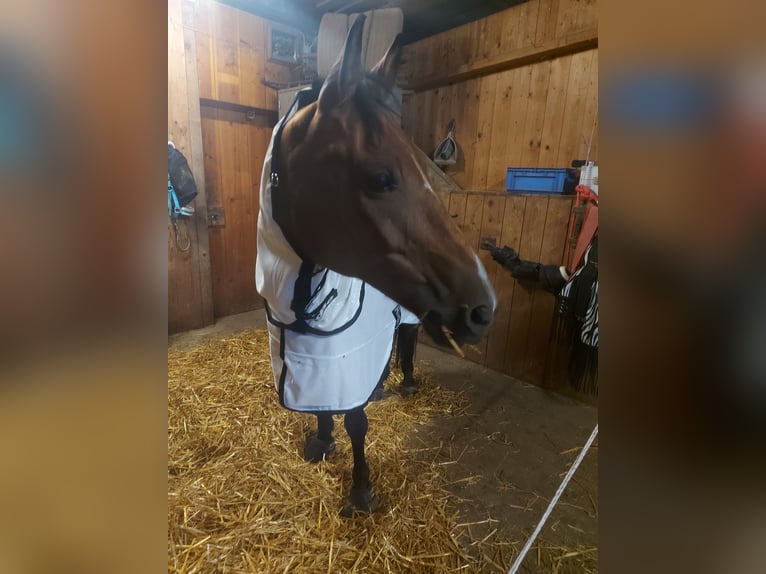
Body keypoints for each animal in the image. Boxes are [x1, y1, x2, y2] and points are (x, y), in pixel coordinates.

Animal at [258, 16, 498, 516]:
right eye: (381, 177)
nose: (483, 309)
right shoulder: (315, 356)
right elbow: (325, 404)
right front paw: (322, 443)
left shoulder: (345, 352)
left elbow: (356, 421)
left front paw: (360, 488)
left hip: (411, 315)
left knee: (406, 341)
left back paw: (404, 382)